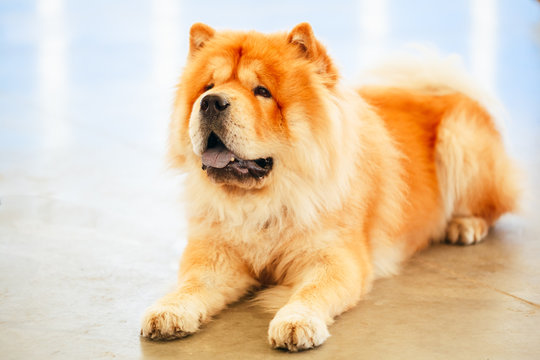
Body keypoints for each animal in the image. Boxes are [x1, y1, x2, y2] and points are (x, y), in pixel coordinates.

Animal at [141, 23, 520, 352]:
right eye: (207, 87)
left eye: (262, 91)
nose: (211, 102)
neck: (265, 203)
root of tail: (445, 89)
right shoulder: (214, 252)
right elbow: (192, 284)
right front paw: (169, 311)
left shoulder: (335, 259)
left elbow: (311, 292)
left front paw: (296, 322)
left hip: (460, 140)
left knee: (492, 207)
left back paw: (464, 225)